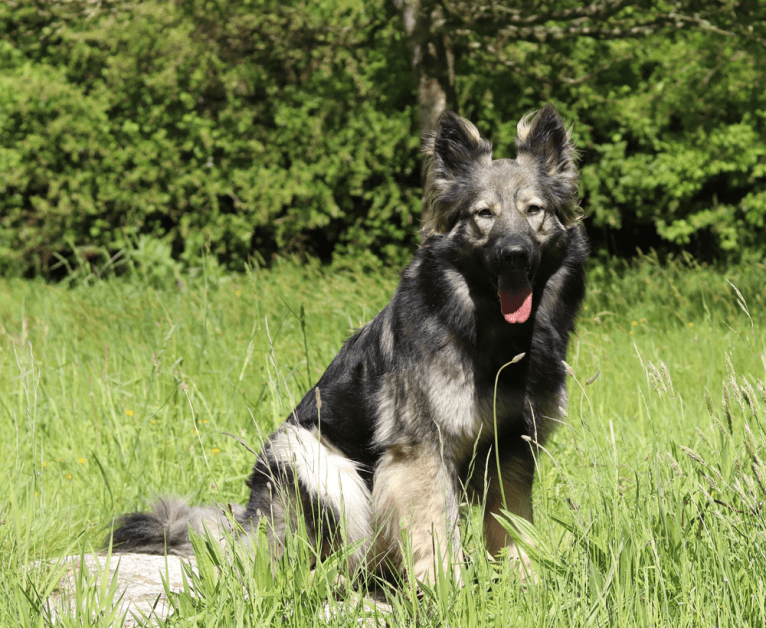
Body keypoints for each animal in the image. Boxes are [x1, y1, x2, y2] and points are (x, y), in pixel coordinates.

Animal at [106, 104, 588, 584]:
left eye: (534, 210)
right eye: (483, 214)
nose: (514, 254)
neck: (492, 336)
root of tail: (243, 527)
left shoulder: (512, 446)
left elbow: (513, 524)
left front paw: (524, 583)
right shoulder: (421, 449)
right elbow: (434, 524)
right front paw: (445, 588)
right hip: (315, 461)